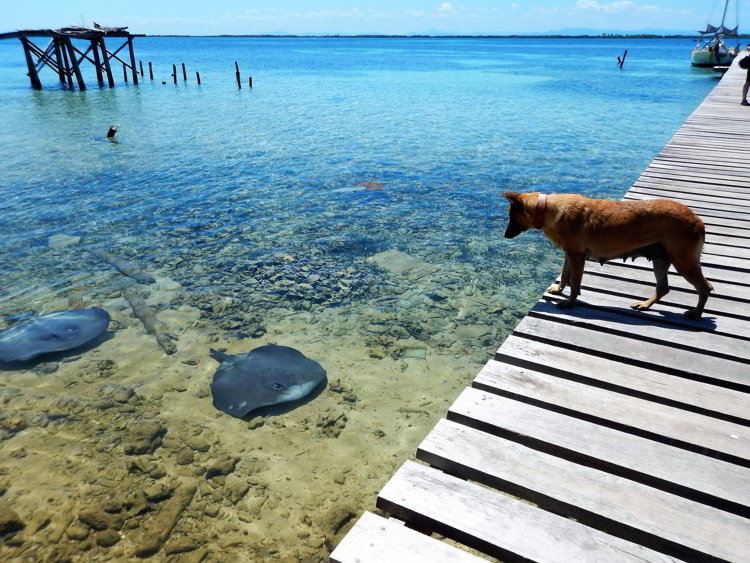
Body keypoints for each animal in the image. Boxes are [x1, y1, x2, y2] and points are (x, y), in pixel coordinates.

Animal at [508, 193, 712, 318]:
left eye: (511, 217)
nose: (505, 235)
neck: (548, 208)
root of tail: (697, 220)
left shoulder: (577, 257)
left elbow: (575, 284)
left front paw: (570, 303)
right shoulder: (570, 254)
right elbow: (565, 276)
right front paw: (559, 290)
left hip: (683, 262)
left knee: (705, 288)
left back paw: (696, 314)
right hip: (660, 260)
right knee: (663, 288)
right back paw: (645, 305)